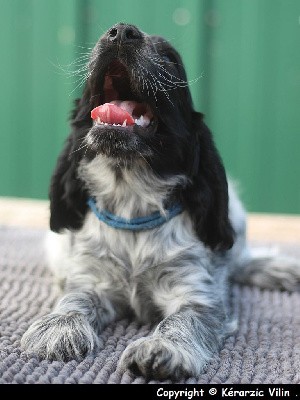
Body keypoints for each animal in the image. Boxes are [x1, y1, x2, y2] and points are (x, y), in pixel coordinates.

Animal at [20, 23, 300, 380]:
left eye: (169, 58)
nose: (121, 31)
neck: (132, 204)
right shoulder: (92, 277)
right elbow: (74, 297)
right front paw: (59, 327)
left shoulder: (195, 291)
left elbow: (185, 318)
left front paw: (161, 349)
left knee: (239, 259)